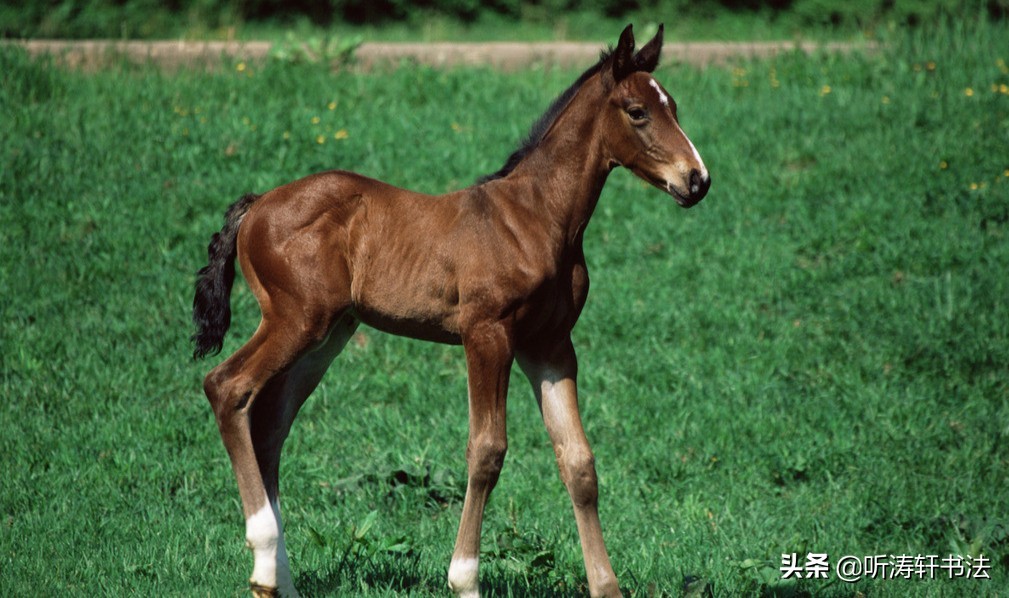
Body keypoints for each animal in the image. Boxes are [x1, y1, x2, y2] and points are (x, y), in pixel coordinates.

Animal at [192, 24, 709, 598]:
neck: (537, 218)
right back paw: (263, 560)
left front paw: (606, 587)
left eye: (674, 107)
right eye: (637, 111)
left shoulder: (551, 345)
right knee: (227, 387)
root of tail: (258, 204)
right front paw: (464, 579)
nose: (696, 180)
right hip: (295, 321)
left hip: (327, 336)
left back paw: (279, 580)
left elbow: (578, 461)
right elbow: (486, 450)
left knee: (269, 425)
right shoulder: (486, 335)